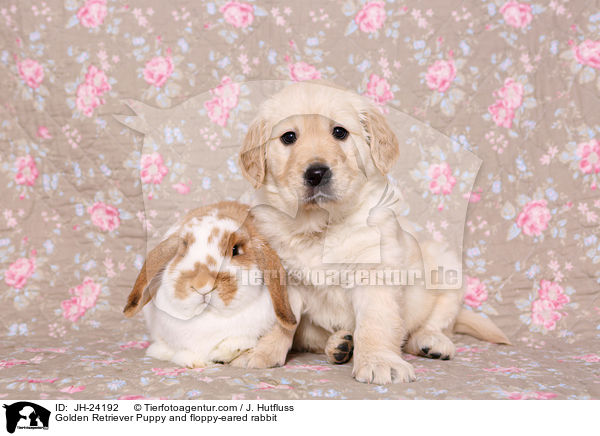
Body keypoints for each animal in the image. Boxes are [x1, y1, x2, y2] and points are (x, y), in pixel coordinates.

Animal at [237, 80, 508, 384]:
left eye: (339, 132)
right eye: (288, 137)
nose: (316, 173)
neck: (321, 224)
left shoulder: (376, 272)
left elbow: (375, 323)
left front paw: (379, 361)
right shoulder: (281, 275)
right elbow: (279, 322)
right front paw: (262, 352)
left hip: (446, 268)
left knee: (432, 325)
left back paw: (431, 342)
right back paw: (339, 345)